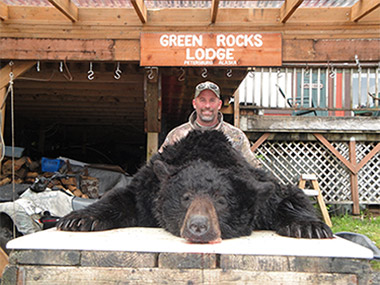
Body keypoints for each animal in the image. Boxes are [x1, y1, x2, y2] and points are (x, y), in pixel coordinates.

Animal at [57, 129, 332, 242]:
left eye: (221, 200)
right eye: (185, 197)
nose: (199, 225)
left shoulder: (263, 190)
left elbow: (290, 195)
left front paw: (310, 227)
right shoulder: (147, 188)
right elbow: (121, 197)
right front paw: (79, 219)